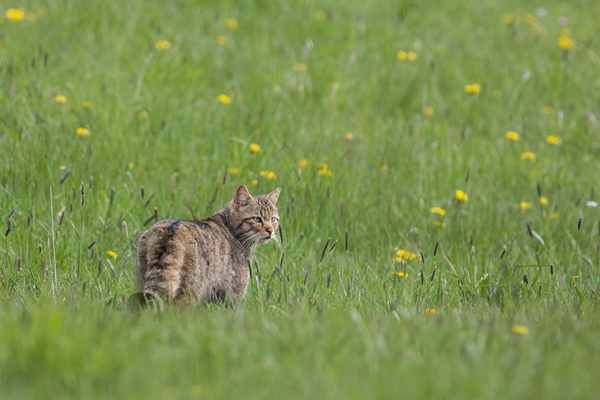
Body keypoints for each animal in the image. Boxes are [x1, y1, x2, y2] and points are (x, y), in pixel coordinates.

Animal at [132, 185, 280, 306]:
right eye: (257, 219)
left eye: (273, 219)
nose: (270, 231)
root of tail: (170, 233)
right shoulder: (235, 291)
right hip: (191, 289)